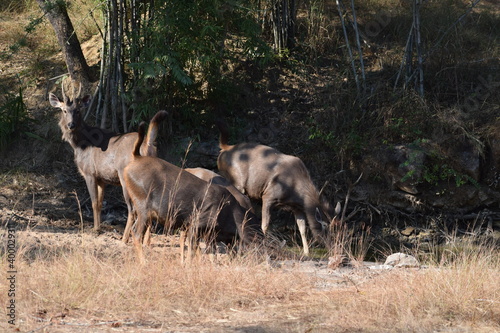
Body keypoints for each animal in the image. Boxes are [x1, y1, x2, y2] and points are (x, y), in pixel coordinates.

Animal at [49, 83, 169, 239]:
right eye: (64, 110)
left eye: (78, 110)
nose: (71, 125)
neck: (81, 145)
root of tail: (147, 144)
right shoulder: (102, 178)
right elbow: (100, 203)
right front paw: (98, 227)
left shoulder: (90, 173)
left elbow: (94, 202)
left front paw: (95, 229)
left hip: (126, 178)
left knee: (132, 209)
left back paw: (125, 238)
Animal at [123, 123, 264, 255]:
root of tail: (136, 157)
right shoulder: (195, 225)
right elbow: (194, 252)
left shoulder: (209, 234)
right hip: (143, 205)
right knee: (137, 234)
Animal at [215, 121, 332, 254]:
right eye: (325, 226)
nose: (333, 245)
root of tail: (224, 148)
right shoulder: (268, 196)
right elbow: (264, 225)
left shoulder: (297, 208)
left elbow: (302, 228)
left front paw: (306, 252)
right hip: (237, 182)